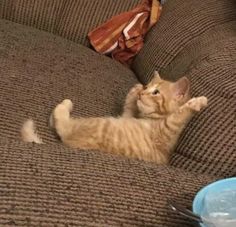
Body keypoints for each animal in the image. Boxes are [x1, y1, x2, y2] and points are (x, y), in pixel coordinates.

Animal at [51, 72, 206, 163]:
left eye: (156, 92)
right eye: (146, 87)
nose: (141, 93)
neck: (152, 118)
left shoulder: (167, 129)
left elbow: (180, 114)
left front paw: (198, 102)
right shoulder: (128, 116)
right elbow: (128, 108)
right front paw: (135, 90)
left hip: (95, 124)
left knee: (61, 123)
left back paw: (65, 105)